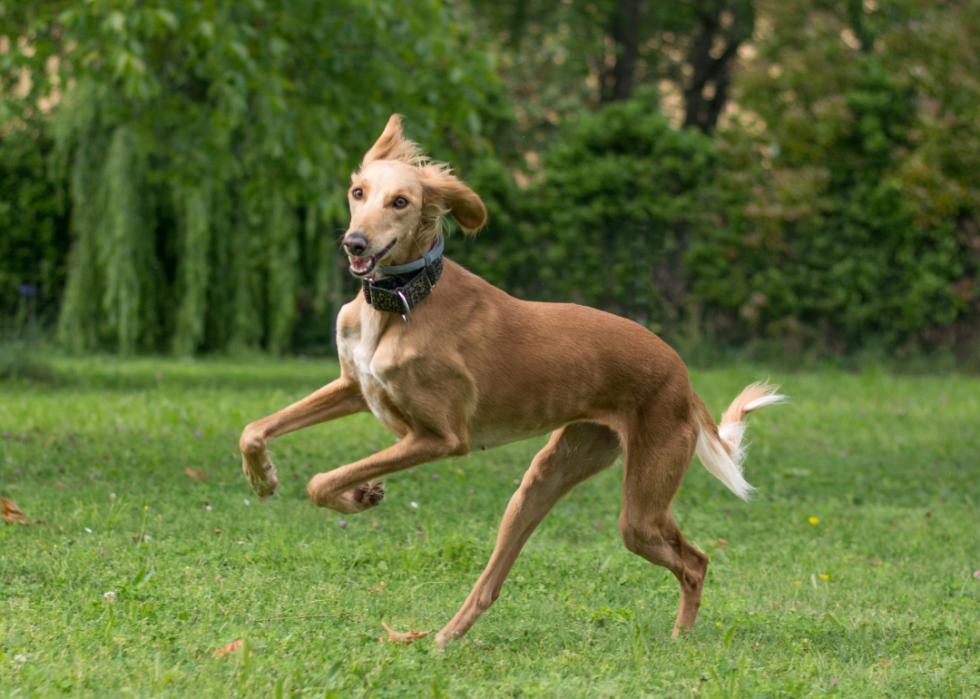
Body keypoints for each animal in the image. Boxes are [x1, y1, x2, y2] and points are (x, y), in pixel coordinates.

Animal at [237, 115, 780, 644]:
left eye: (401, 201)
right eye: (358, 192)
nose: (355, 243)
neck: (403, 302)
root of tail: (681, 373)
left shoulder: (440, 438)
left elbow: (320, 481)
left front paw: (356, 495)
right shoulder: (354, 388)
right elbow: (254, 430)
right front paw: (266, 480)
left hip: (641, 507)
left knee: (695, 560)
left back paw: (680, 638)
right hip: (546, 478)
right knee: (492, 584)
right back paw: (443, 636)